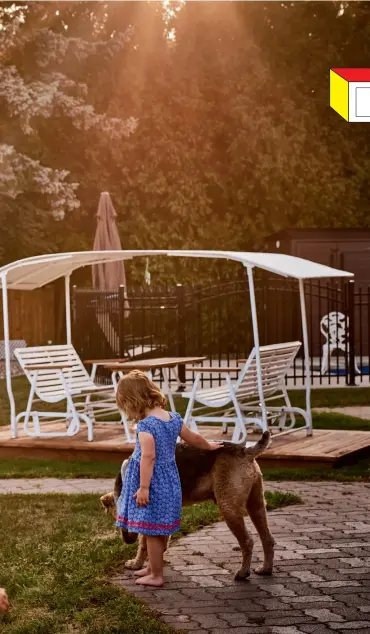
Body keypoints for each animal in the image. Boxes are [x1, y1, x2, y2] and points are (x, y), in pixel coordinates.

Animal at [101, 430, 274, 576]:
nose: (128, 541)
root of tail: (246, 452)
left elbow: (143, 543)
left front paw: (136, 564)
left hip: (229, 507)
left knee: (248, 541)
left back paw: (243, 572)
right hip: (256, 504)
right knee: (268, 539)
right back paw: (265, 569)